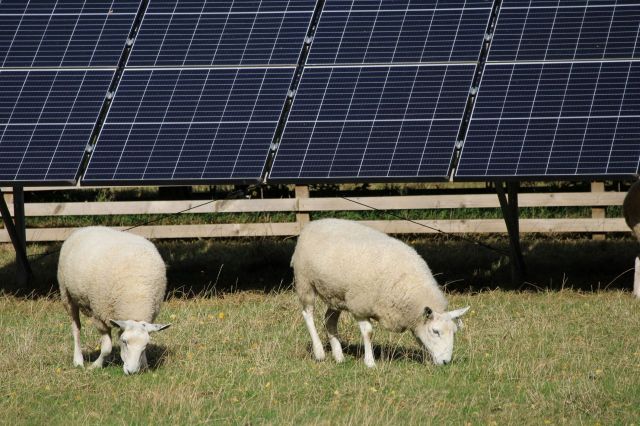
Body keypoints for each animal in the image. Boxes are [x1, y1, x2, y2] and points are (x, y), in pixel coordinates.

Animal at [57, 227, 170, 374]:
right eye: (124, 341)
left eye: (145, 345)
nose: (132, 372)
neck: (136, 295)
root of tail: (87, 228)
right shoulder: (99, 315)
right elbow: (107, 348)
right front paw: (95, 366)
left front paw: (145, 366)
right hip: (67, 294)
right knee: (76, 328)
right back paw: (78, 360)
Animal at [291, 218, 469, 367]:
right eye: (436, 331)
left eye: (454, 332)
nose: (446, 362)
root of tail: (313, 224)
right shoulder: (360, 305)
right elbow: (368, 332)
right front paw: (370, 362)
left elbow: (419, 338)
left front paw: (427, 359)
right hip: (305, 282)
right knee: (308, 314)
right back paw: (319, 352)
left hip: (336, 295)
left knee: (329, 320)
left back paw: (339, 356)